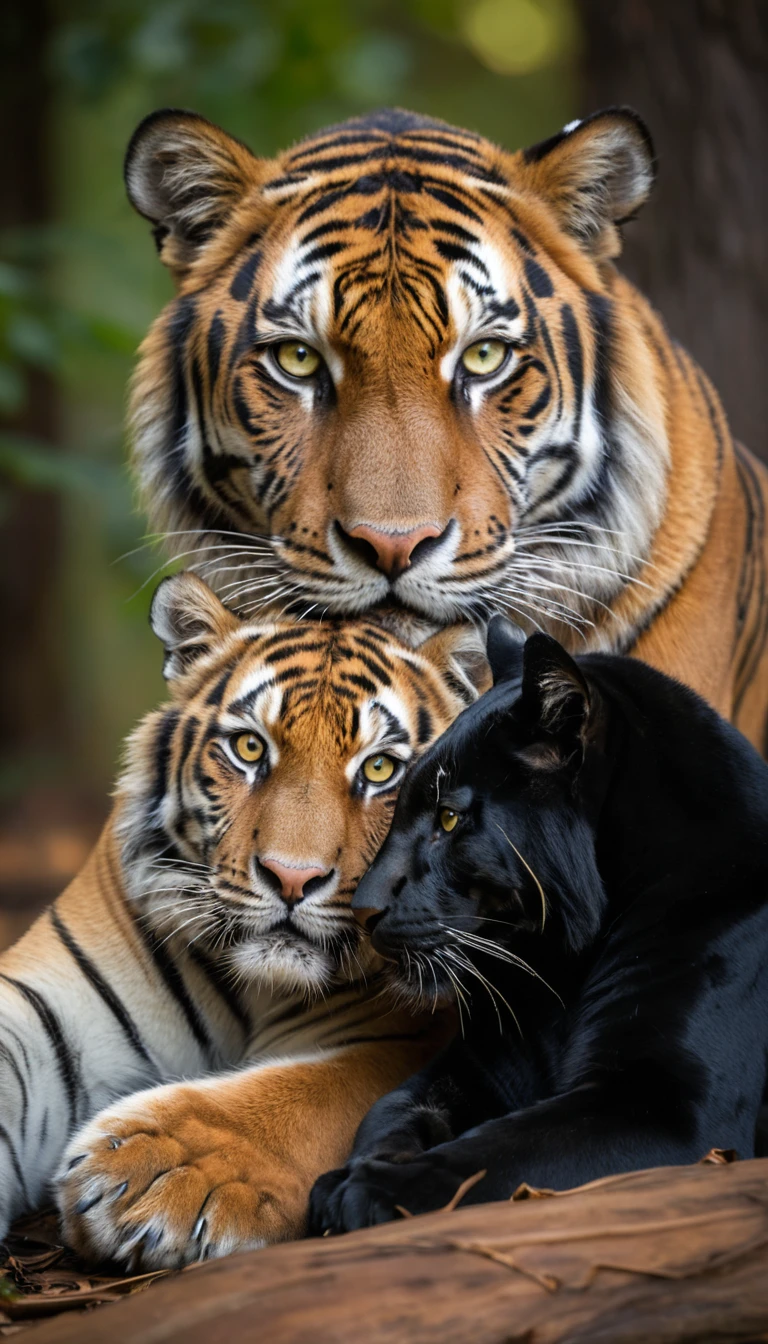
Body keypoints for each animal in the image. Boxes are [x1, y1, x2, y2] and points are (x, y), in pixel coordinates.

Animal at [0, 571, 487, 1268]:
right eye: (250, 747)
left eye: (380, 768)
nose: (292, 878)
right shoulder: (51, 1008)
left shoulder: (413, 1038)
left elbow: (324, 1090)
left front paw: (159, 1174)